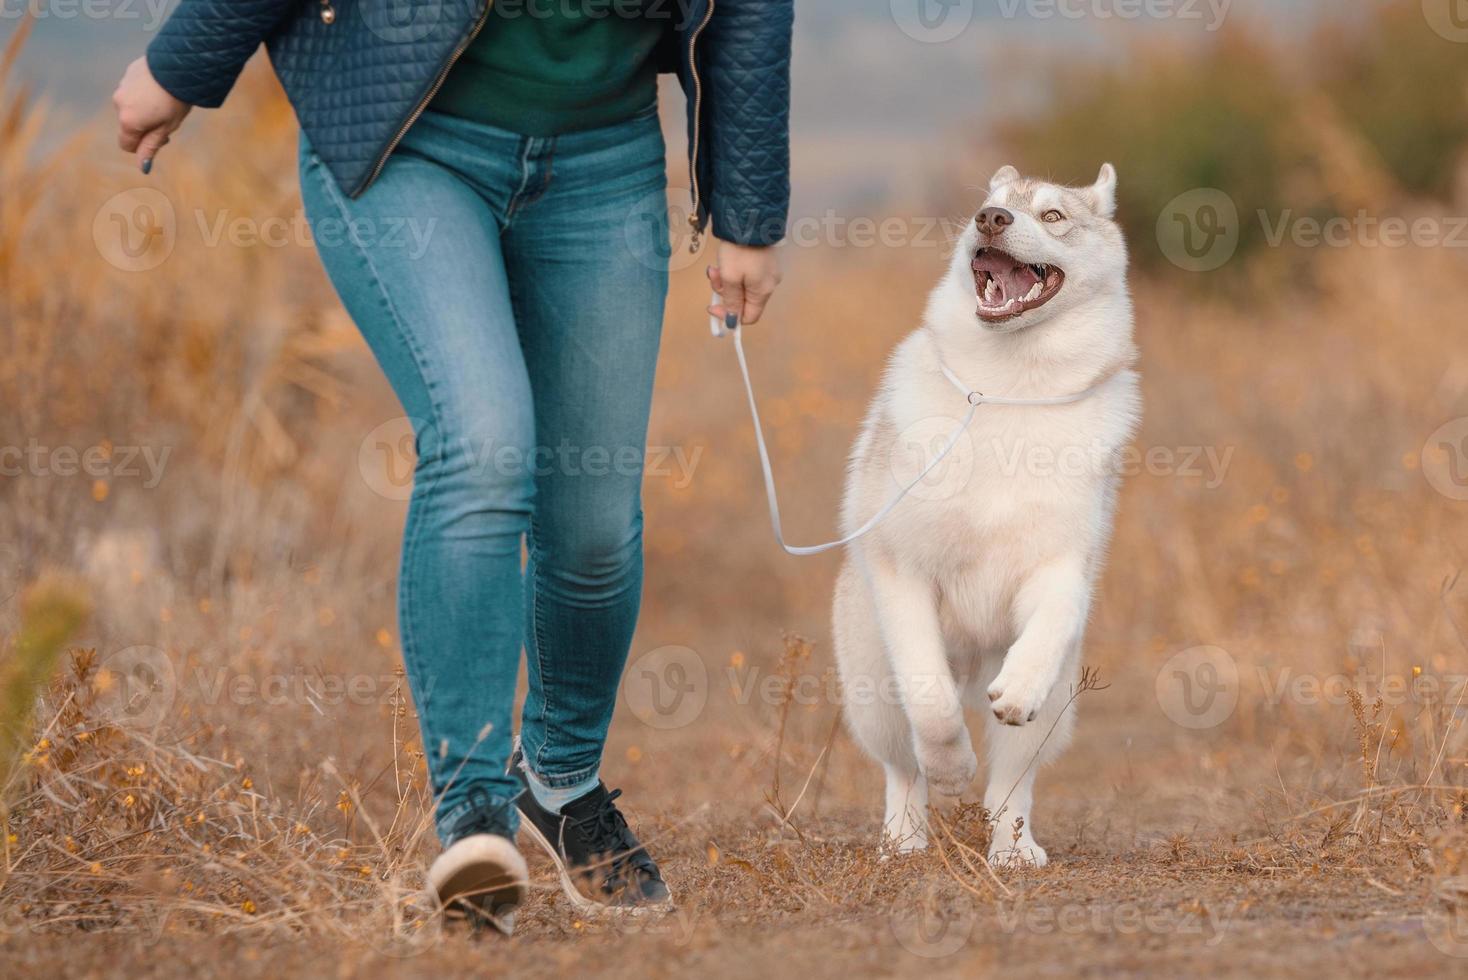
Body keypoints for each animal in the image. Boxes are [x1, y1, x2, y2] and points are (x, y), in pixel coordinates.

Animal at [833, 162, 1139, 862]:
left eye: (1052, 215)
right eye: (991, 204)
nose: (991, 221)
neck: (1009, 389)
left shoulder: (1061, 564)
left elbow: (1053, 618)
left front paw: (1019, 687)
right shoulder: (904, 573)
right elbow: (932, 705)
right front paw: (952, 769)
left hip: (1057, 708)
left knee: (1010, 785)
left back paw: (1013, 850)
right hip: (872, 688)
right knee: (902, 768)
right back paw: (904, 840)